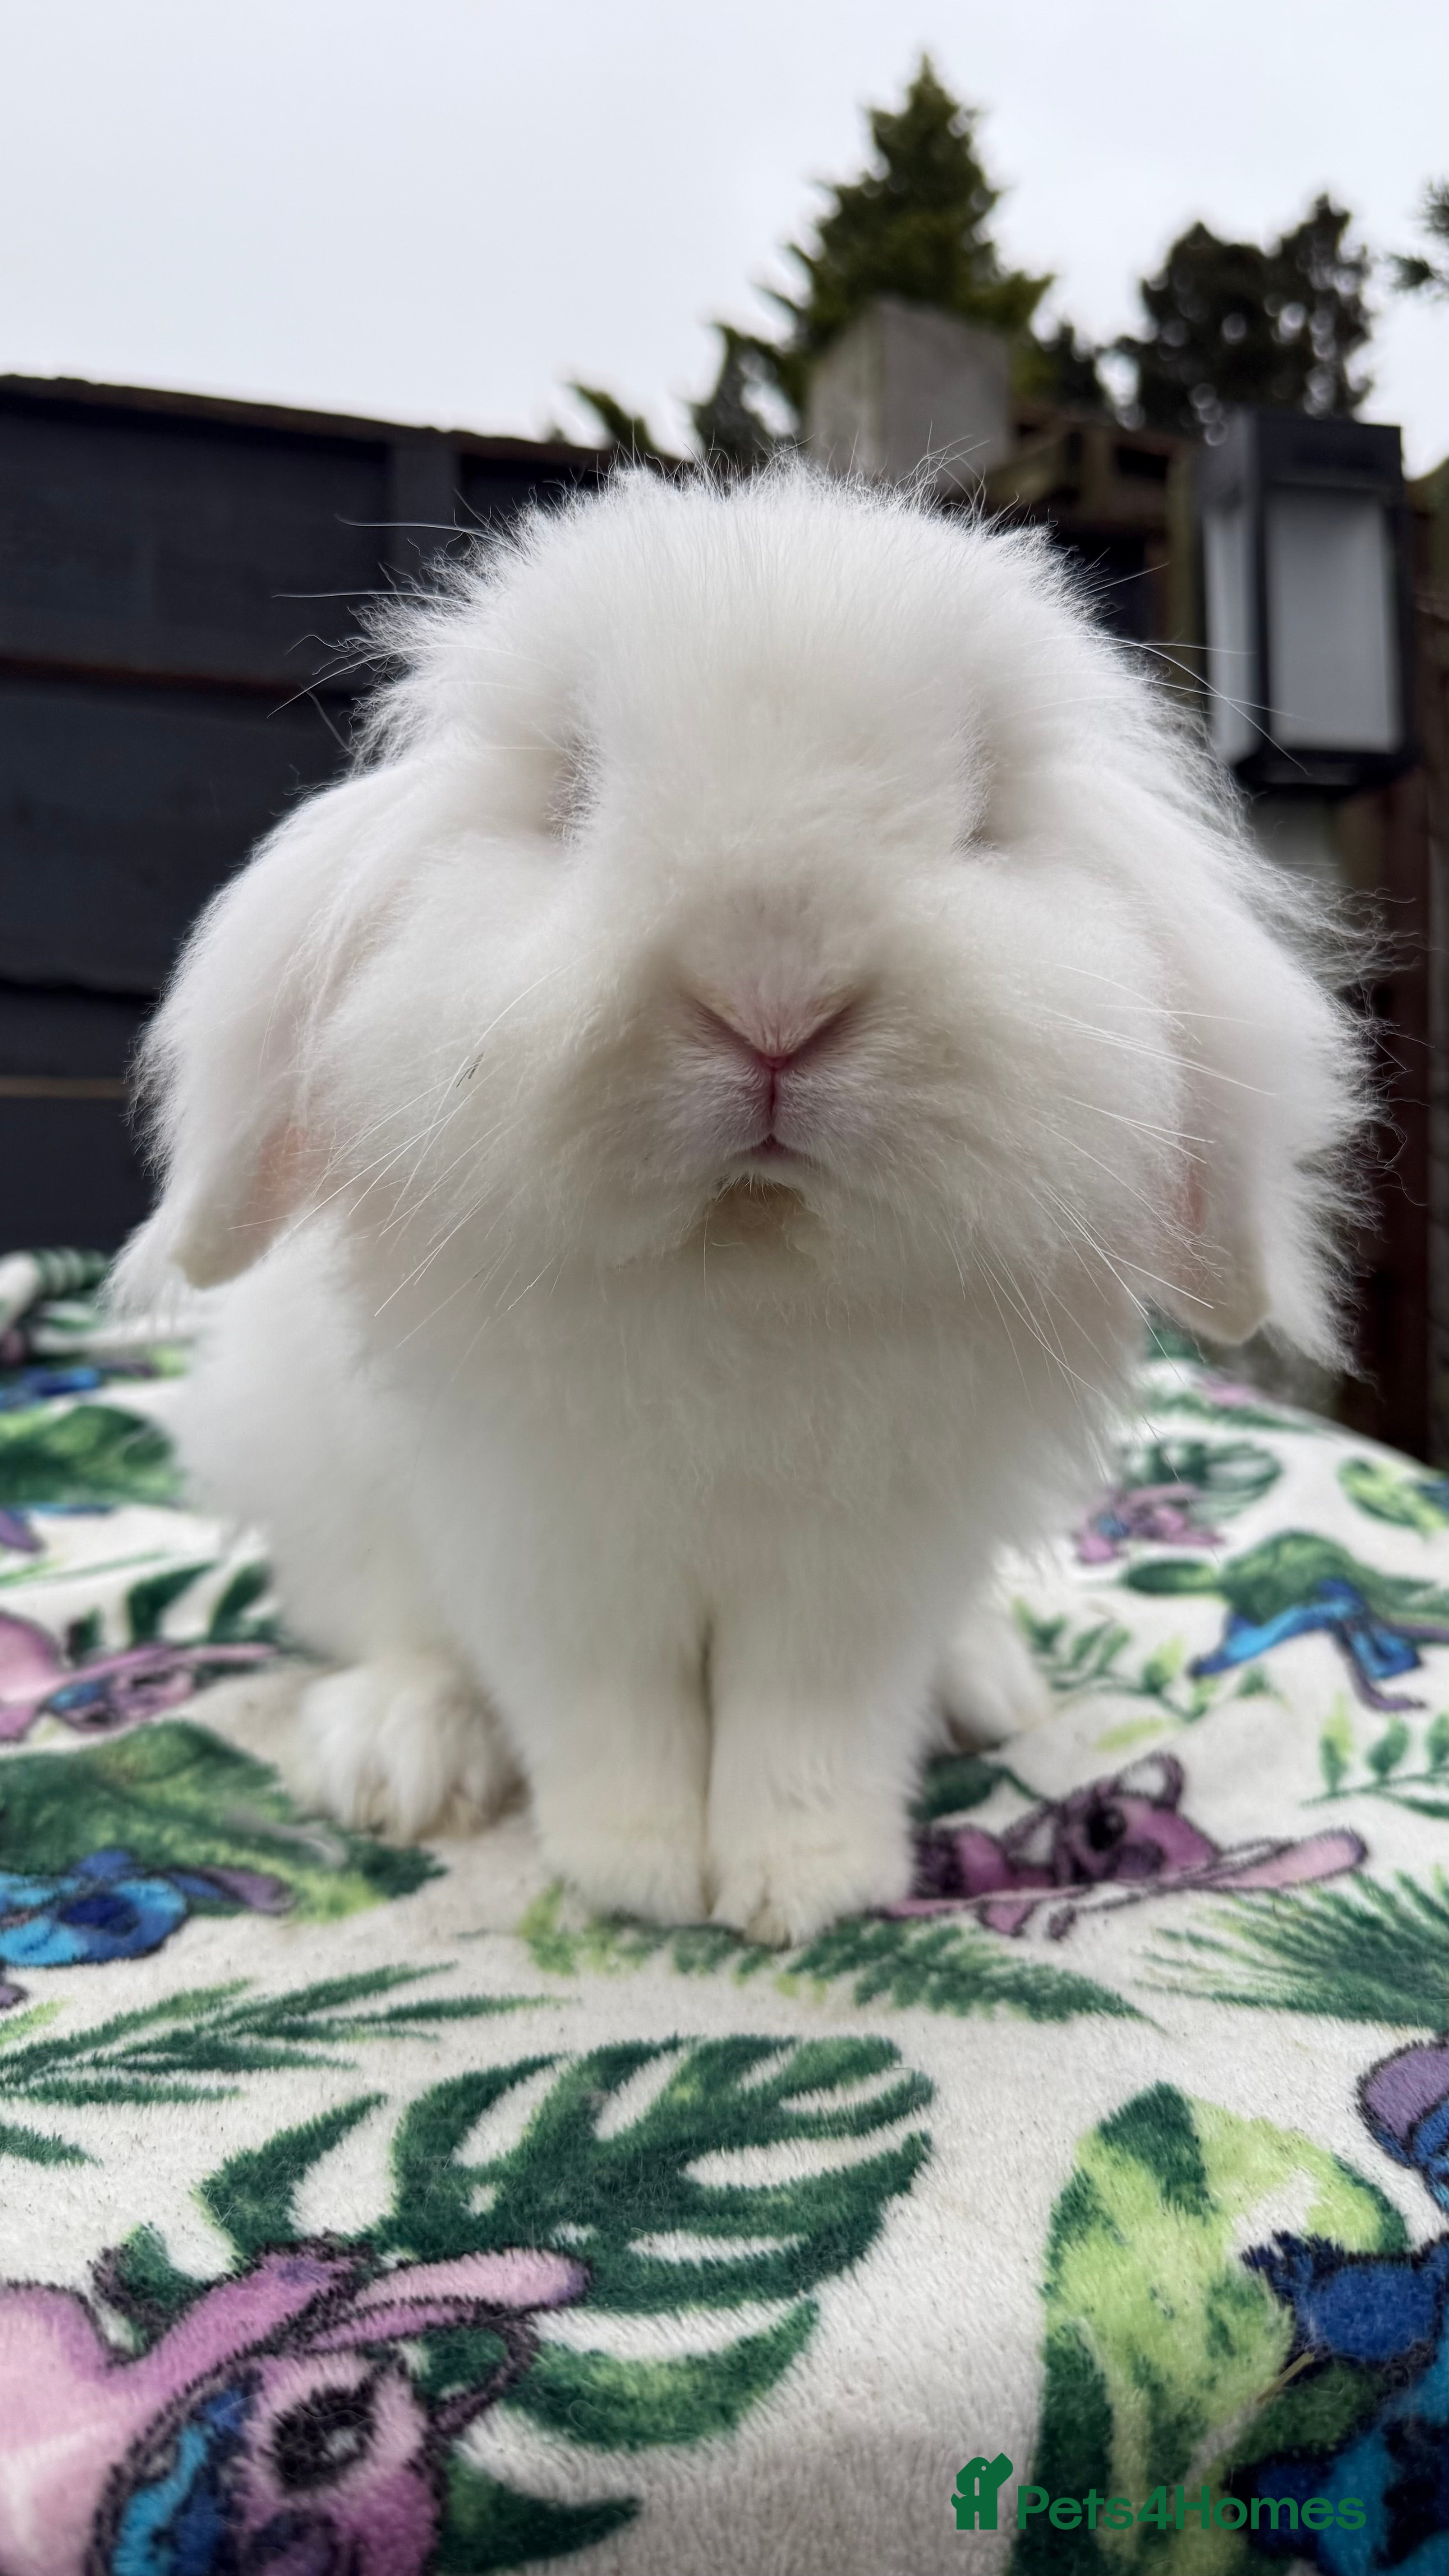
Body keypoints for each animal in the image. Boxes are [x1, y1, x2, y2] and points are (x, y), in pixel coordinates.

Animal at [116, 466, 1364, 1946]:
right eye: (571, 784)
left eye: (985, 805)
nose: (774, 991)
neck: (745, 1269)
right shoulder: (547, 1545)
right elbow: (610, 1721)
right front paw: (639, 1877)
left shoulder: (862, 1574)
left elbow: (809, 1732)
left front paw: (801, 1888)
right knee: (394, 1624)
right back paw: (399, 1753)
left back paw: (982, 1688)